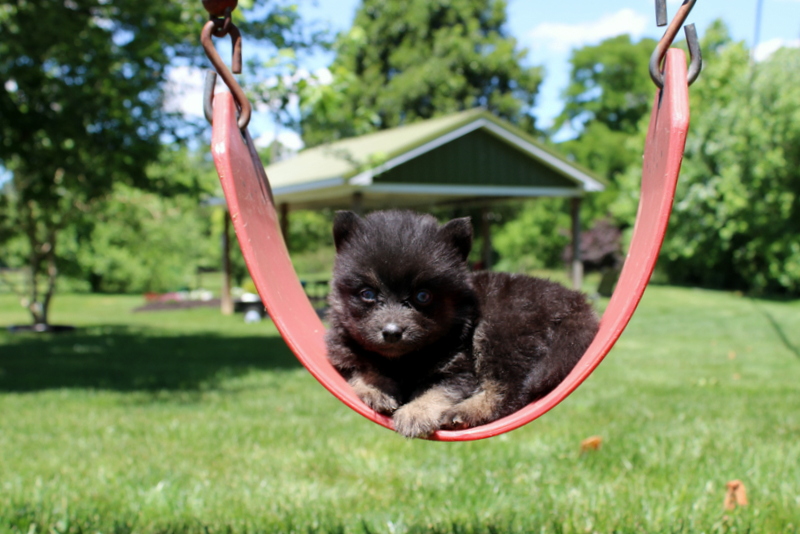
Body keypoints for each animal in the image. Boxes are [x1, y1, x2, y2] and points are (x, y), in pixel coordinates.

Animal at [326, 210, 600, 440]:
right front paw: (376, 389)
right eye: (368, 294)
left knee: (508, 391)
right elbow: (360, 367)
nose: (392, 332)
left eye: (423, 295)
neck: (405, 359)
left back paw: (465, 412)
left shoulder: (460, 370)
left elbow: (437, 391)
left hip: (499, 330)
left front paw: (416, 412)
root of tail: (574, 302)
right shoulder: (342, 350)